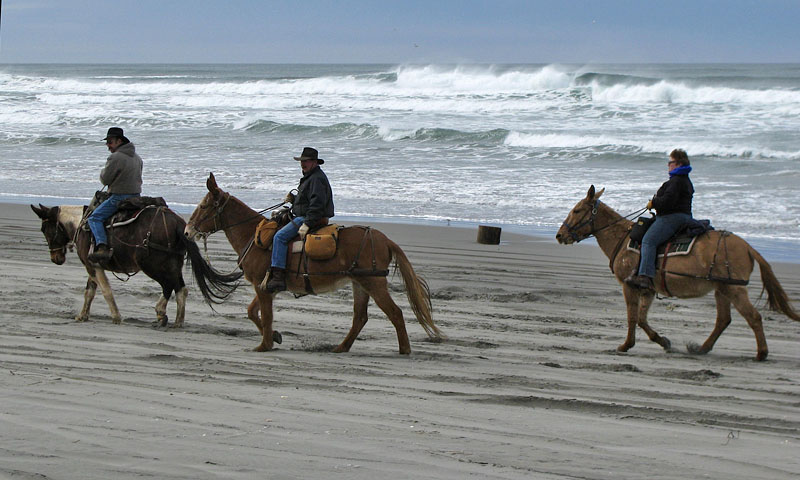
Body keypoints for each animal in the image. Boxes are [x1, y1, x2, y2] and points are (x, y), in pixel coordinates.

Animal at [31, 202, 242, 326]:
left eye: (44, 228)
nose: (55, 258)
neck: (82, 224)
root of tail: (177, 223)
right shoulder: (92, 267)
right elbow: (89, 292)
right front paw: (82, 316)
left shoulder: (93, 265)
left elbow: (105, 291)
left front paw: (116, 317)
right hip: (172, 263)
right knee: (180, 288)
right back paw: (177, 320)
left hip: (152, 264)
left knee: (170, 285)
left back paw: (161, 313)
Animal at [184, 172, 440, 352]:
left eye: (204, 206)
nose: (187, 232)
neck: (253, 235)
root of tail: (384, 239)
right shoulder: (265, 287)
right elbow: (252, 313)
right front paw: (274, 336)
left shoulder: (262, 286)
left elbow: (265, 315)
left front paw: (264, 345)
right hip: (361, 283)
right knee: (360, 317)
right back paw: (341, 348)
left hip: (374, 283)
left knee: (394, 313)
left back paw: (404, 350)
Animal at [556, 185, 800, 360]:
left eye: (577, 210)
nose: (559, 235)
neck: (623, 238)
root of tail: (748, 247)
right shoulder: (647, 289)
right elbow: (642, 319)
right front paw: (663, 341)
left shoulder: (629, 285)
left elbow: (633, 317)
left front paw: (626, 345)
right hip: (722, 289)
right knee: (723, 319)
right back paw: (701, 348)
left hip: (733, 289)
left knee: (753, 317)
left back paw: (761, 353)